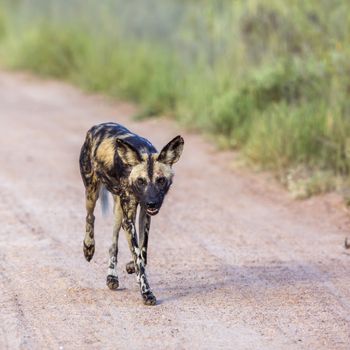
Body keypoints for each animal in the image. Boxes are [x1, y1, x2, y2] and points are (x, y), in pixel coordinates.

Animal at [78, 122, 183, 304]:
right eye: (141, 181)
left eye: (160, 180)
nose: (152, 202)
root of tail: (96, 127)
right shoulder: (130, 219)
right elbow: (139, 259)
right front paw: (147, 293)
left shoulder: (144, 215)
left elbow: (143, 252)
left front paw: (131, 266)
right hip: (92, 193)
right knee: (90, 217)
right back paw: (89, 248)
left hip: (119, 210)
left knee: (113, 244)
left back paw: (112, 277)